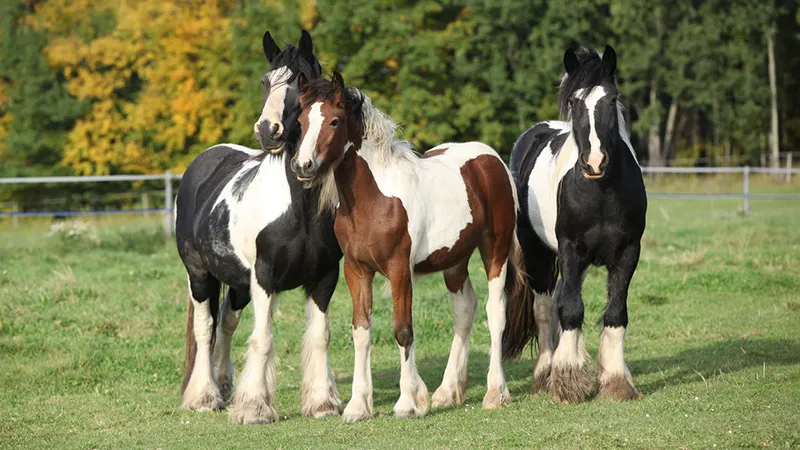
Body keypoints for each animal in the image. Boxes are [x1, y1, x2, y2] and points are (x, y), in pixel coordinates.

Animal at [176, 29, 344, 424]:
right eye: (266, 81)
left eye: (301, 81)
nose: (268, 130)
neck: (299, 210)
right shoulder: (265, 277)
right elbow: (263, 338)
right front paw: (254, 407)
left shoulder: (325, 276)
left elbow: (320, 336)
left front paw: (322, 403)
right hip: (200, 275)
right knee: (205, 329)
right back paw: (204, 396)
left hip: (238, 282)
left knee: (225, 323)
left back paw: (224, 389)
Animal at [288, 71, 532, 422]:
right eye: (302, 121)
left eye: (334, 121)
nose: (303, 166)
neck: (374, 199)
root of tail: (491, 159)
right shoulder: (357, 271)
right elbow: (361, 331)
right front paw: (357, 406)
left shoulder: (399, 269)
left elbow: (403, 329)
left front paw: (408, 403)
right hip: (454, 260)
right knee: (465, 309)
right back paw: (448, 392)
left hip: (494, 250)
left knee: (495, 311)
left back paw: (495, 393)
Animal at [506, 45, 648, 404]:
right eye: (574, 102)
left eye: (612, 99)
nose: (594, 162)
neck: (600, 193)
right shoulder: (570, 250)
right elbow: (570, 309)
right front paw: (567, 380)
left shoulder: (628, 252)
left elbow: (615, 313)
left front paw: (615, 380)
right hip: (539, 253)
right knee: (546, 308)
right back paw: (545, 372)